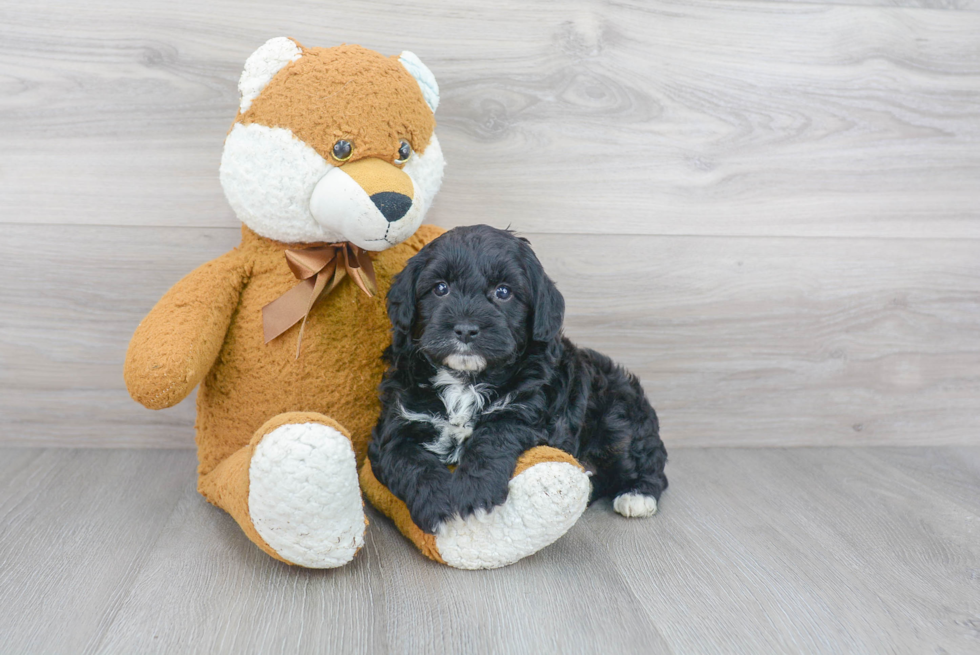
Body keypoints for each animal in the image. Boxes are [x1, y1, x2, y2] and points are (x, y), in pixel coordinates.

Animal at [368, 224, 668, 532]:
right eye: (440, 288)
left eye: (503, 292)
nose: (465, 329)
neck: (466, 379)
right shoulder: (398, 423)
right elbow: (409, 461)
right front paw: (438, 504)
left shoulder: (526, 413)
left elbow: (492, 438)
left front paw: (473, 494)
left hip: (617, 422)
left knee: (646, 462)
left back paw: (637, 495)